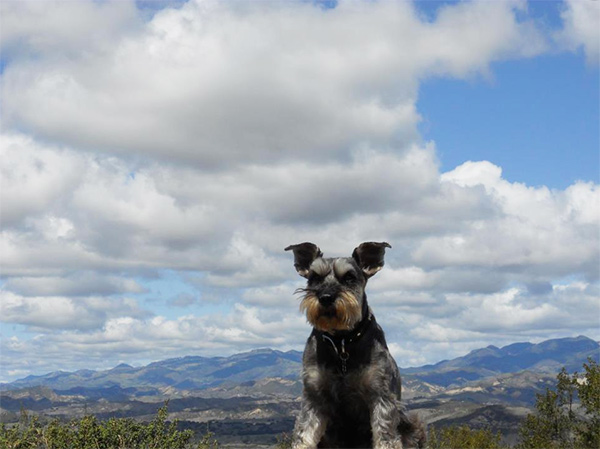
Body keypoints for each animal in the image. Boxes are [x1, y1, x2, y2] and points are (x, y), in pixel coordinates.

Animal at [286, 242, 426, 448]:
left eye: (349, 277)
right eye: (314, 278)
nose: (326, 297)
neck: (342, 342)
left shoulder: (381, 397)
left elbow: (385, 438)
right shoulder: (314, 397)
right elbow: (304, 435)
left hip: (412, 425)